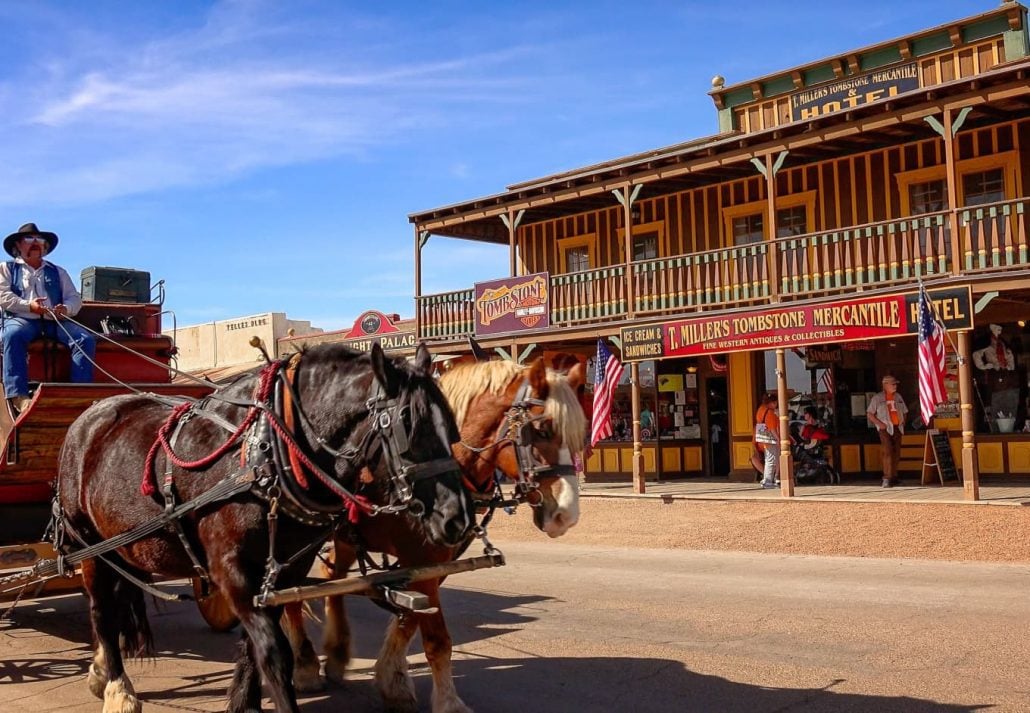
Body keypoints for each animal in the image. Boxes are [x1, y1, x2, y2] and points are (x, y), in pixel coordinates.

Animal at [55, 342, 471, 713]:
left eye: (451, 427)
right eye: (407, 427)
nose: (458, 517)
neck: (268, 452)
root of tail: (90, 415)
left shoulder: (286, 571)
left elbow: (254, 647)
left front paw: (245, 702)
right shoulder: (232, 570)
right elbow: (273, 652)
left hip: (123, 548)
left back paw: (100, 671)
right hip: (88, 546)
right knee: (102, 612)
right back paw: (117, 688)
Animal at [284, 358, 589, 708]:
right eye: (541, 430)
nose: (566, 514)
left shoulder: (434, 563)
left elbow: (410, 616)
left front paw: (392, 678)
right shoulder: (422, 559)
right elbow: (437, 640)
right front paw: (448, 703)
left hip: (346, 537)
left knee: (332, 579)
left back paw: (335, 653)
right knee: (293, 594)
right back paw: (305, 666)